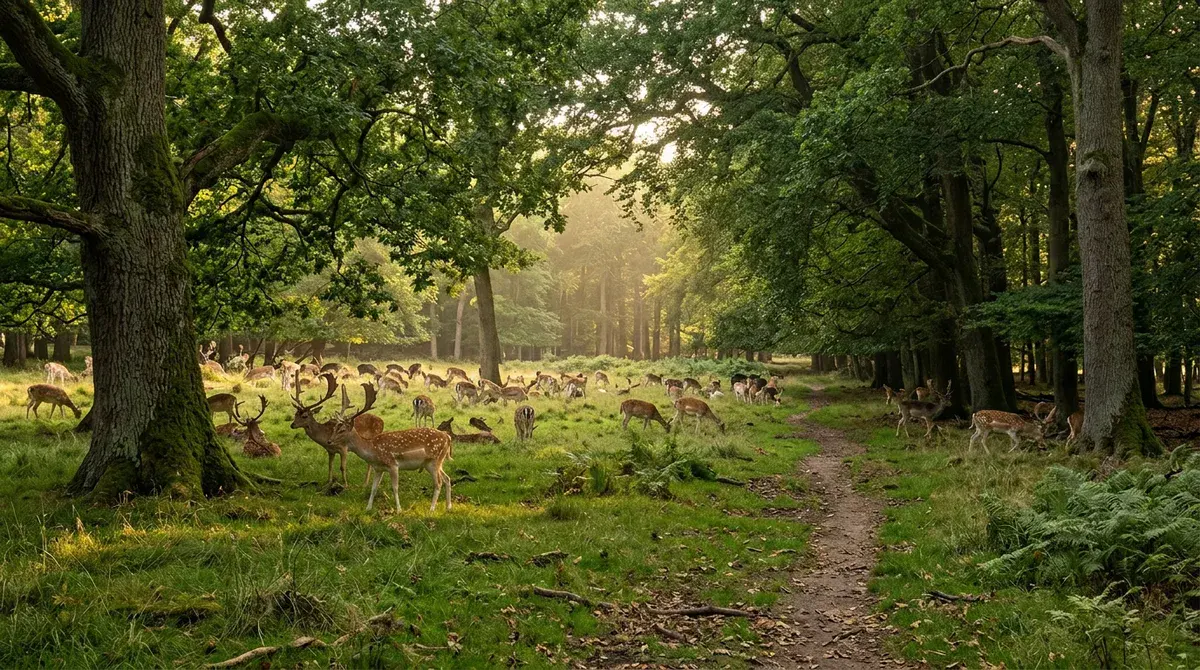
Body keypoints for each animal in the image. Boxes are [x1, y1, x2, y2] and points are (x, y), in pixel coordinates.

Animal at [330, 384, 453, 512]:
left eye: (342, 430)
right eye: (334, 427)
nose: (329, 441)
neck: (373, 451)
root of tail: (447, 436)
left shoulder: (393, 464)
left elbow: (395, 488)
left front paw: (399, 510)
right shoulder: (378, 469)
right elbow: (374, 488)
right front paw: (368, 508)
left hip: (435, 460)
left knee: (438, 482)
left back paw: (432, 508)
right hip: (433, 463)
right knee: (447, 479)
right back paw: (448, 506)